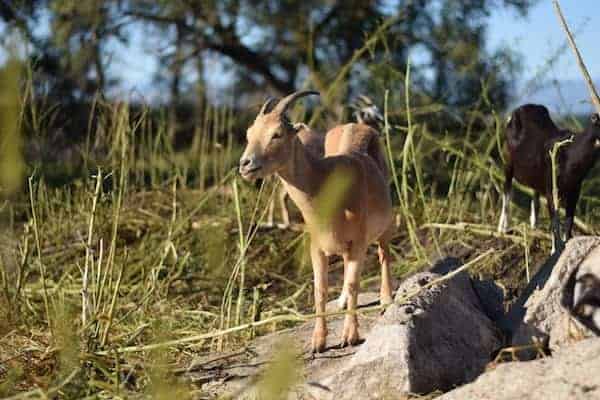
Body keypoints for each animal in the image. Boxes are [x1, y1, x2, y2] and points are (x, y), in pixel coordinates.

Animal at [239, 90, 394, 354]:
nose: (245, 164)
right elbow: (319, 290)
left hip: (385, 221)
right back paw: (341, 302)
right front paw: (318, 342)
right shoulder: (317, 246)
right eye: (249, 133)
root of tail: (358, 125)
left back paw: (386, 299)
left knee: (384, 253)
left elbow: (353, 283)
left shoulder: (358, 242)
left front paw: (350, 336)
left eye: (277, 134)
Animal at [496, 104, 600, 252]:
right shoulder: (551, 187)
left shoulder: (575, 188)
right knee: (507, 191)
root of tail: (519, 109)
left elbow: (569, 219)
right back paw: (501, 230)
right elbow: (554, 220)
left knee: (535, 198)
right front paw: (555, 250)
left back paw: (534, 228)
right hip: (507, 162)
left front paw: (567, 243)